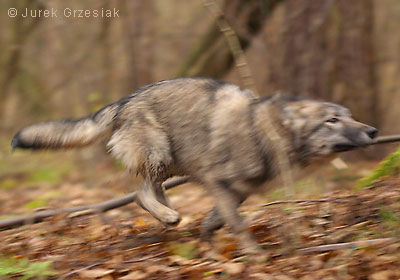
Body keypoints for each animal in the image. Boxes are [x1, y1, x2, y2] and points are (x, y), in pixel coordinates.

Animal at [10, 77, 376, 253]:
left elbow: (219, 219)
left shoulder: (236, 190)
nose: (373, 131)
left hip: (173, 161)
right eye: (331, 120)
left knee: (150, 192)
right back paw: (168, 215)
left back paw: (169, 216)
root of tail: (125, 100)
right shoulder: (218, 180)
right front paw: (254, 255)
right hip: (159, 154)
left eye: (349, 116)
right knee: (140, 194)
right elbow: (238, 224)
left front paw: (207, 238)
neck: (264, 130)